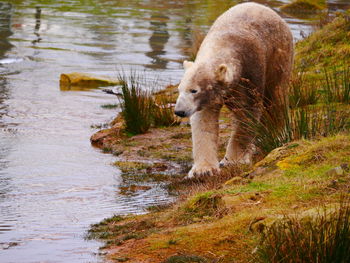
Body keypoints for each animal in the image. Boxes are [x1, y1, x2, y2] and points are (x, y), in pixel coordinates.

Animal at [174, 2, 292, 177]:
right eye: (179, 89)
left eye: (194, 90)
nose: (179, 111)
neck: (224, 43)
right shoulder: (209, 97)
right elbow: (204, 121)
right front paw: (203, 170)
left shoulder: (250, 70)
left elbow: (247, 112)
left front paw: (234, 160)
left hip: (279, 55)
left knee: (276, 96)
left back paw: (277, 133)